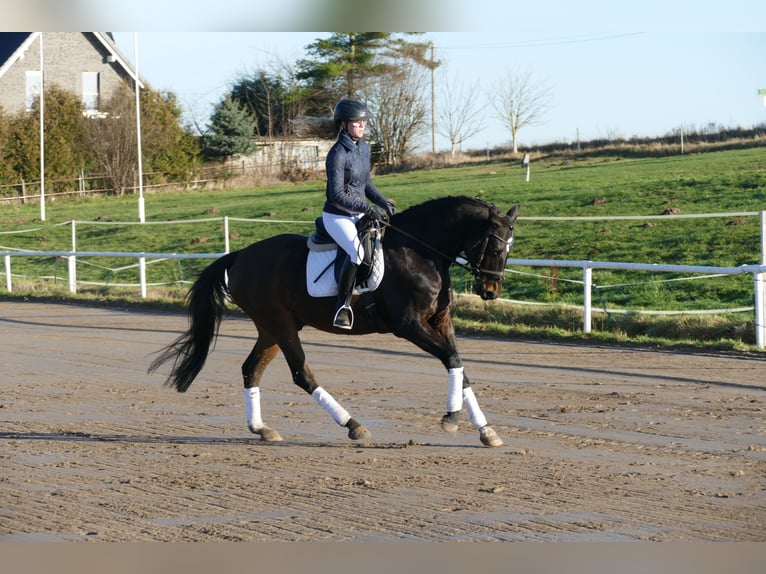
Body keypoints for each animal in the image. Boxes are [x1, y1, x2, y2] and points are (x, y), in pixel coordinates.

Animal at [149, 195, 520, 447]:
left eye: (509, 248)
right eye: (494, 246)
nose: (491, 290)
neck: (421, 252)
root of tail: (240, 255)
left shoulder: (440, 321)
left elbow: (460, 367)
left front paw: (486, 430)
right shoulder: (409, 325)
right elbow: (453, 359)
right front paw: (451, 418)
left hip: (272, 328)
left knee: (251, 369)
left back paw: (262, 429)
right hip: (281, 324)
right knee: (301, 373)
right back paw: (353, 424)